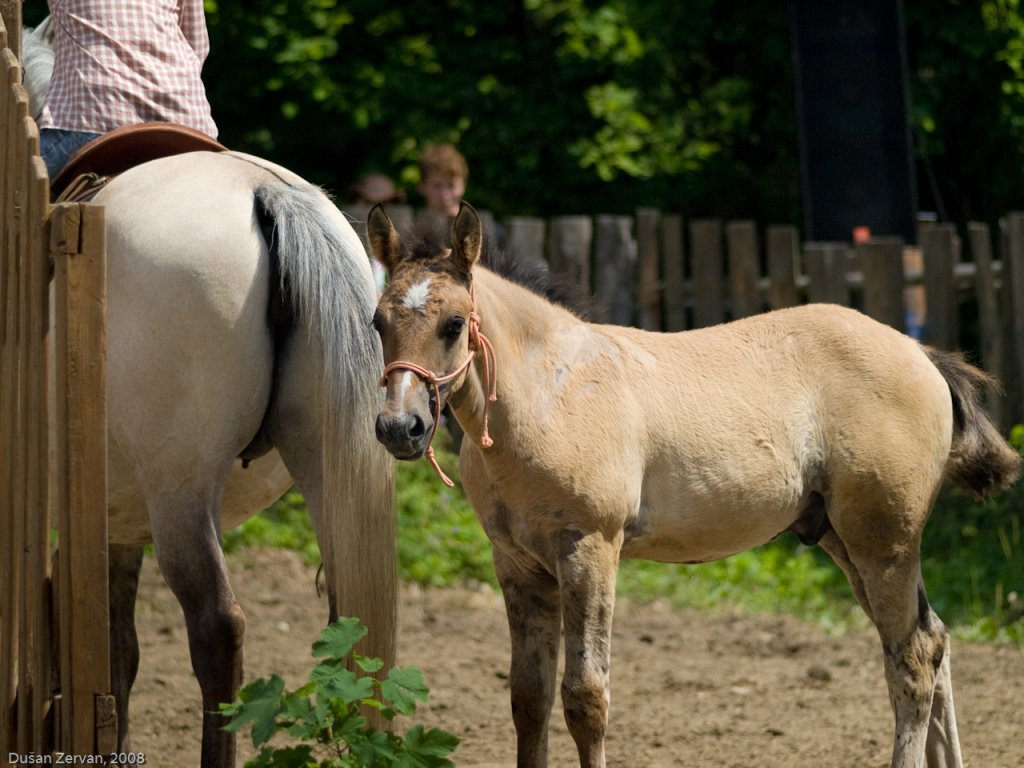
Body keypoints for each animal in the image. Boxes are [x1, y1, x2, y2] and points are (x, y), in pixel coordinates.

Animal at [370, 204, 1024, 768]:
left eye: (455, 324)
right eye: (377, 321)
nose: (400, 427)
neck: (548, 393)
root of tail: (919, 352)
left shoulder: (590, 548)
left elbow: (586, 697)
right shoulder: (516, 561)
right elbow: (528, 699)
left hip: (883, 540)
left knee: (911, 659)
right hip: (842, 540)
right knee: (933, 642)